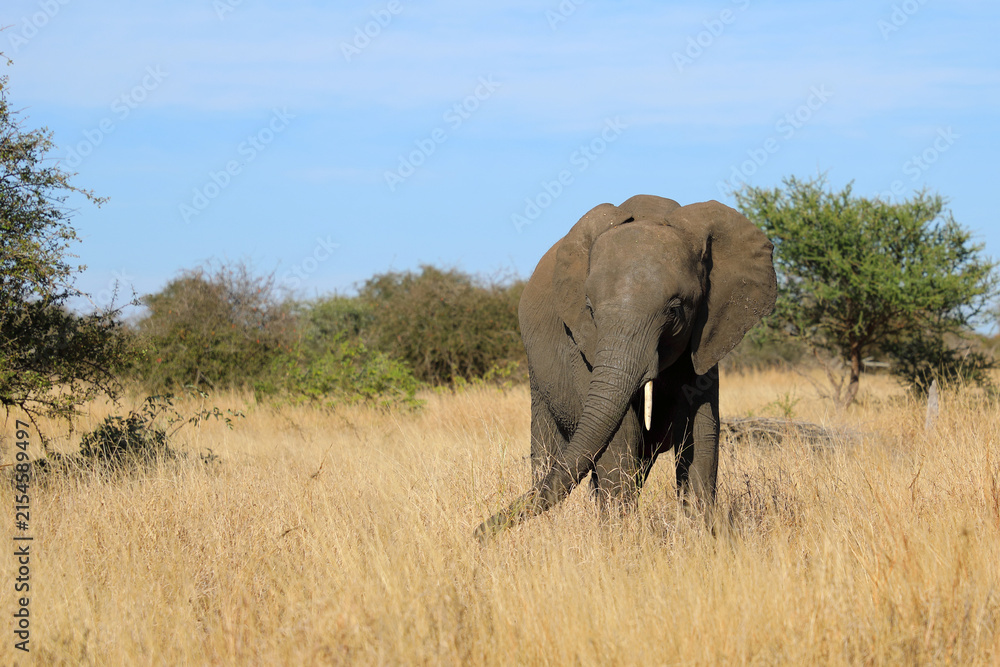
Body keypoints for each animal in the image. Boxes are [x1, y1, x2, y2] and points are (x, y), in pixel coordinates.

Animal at [475, 195, 776, 541]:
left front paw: (704, 536)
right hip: (538, 374)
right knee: (550, 448)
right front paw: (620, 540)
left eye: (674, 310)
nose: (477, 534)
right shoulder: (582, 343)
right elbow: (621, 433)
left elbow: (700, 427)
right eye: (590, 308)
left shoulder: (707, 333)